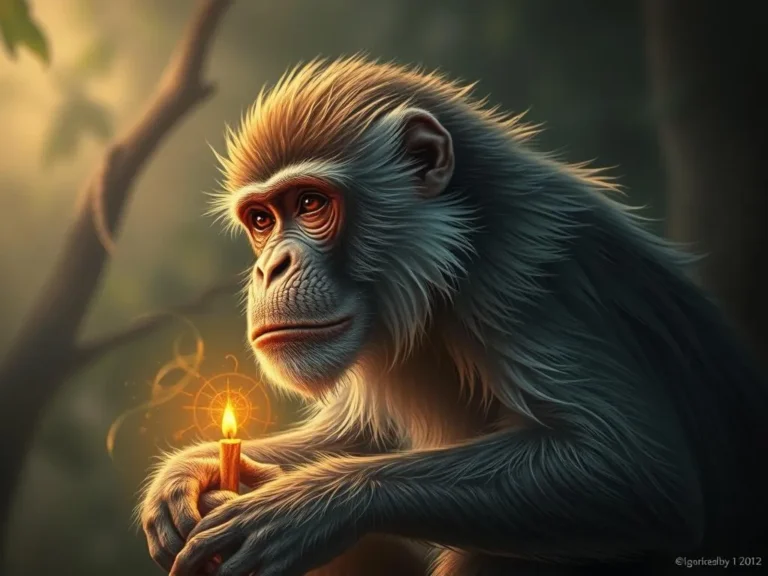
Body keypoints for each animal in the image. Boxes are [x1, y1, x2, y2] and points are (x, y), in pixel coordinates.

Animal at [139, 56, 768, 576]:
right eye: (262, 219)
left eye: (310, 204)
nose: (271, 265)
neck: (447, 263)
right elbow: (364, 434)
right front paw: (190, 472)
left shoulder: (527, 273)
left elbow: (633, 470)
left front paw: (302, 505)